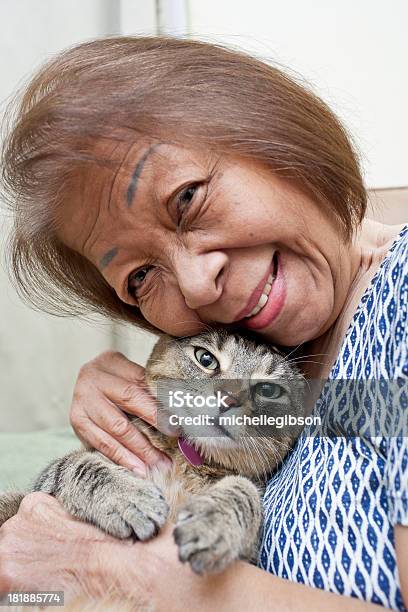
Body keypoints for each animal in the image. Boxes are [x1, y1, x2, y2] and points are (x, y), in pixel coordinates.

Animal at [0, 330, 304, 572]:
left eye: (268, 390)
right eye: (206, 359)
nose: (227, 399)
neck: (184, 466)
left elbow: (243, 488)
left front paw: (215, 520)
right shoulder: (46, 483)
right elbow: (78, 464)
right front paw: (128, 498)